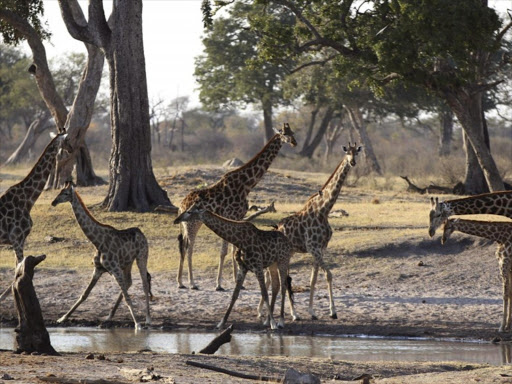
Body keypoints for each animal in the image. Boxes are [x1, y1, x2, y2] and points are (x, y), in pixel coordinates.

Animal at [0, 132, 69, 304]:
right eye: (68, 141)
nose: (71, 150)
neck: (28, 199)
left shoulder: (19, 240)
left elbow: (18, 268)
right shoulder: (17, 238)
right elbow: (19, 269)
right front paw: (4, 295)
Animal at [52, 183, 152, 330]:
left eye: (65, 193)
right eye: (59, 191)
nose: (53, 202)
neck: (98, 242)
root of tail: (141, 233)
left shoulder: (115, 269)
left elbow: (127, 297)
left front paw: (137, 324)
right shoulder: (98, 269)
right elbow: (84, 294)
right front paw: (62, 318)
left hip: (141, 257)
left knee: (144, 283)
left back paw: (148, 319)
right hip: (127, 263)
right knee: (129, 282)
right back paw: (109, 317)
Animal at [176, 123, 296, 292]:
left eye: (293, 133)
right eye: (285, 134)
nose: (294, 143)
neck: (246, 184)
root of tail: (181, 206)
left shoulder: (238, 217)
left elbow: (234, 249)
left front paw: (237, 281)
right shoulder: (230, 215)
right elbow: (224, 252)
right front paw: (219, 284)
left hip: (189, 224)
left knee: (182, 246)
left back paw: (180, 282)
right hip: (192, 223)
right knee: (189, 247)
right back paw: (192, 283)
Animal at [274, 142, 362, 320]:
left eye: (356, 152)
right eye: (347, 153)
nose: (352, 162)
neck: (324, 210)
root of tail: (277, 227)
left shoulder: (320, 248)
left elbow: (313, 279)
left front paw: (312, 312)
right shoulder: (313, 247)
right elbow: (328, 275)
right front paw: (333, 311)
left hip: (290, 252)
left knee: (285, 278)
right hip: (284, 253)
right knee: (284, 278)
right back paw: (293, 315)